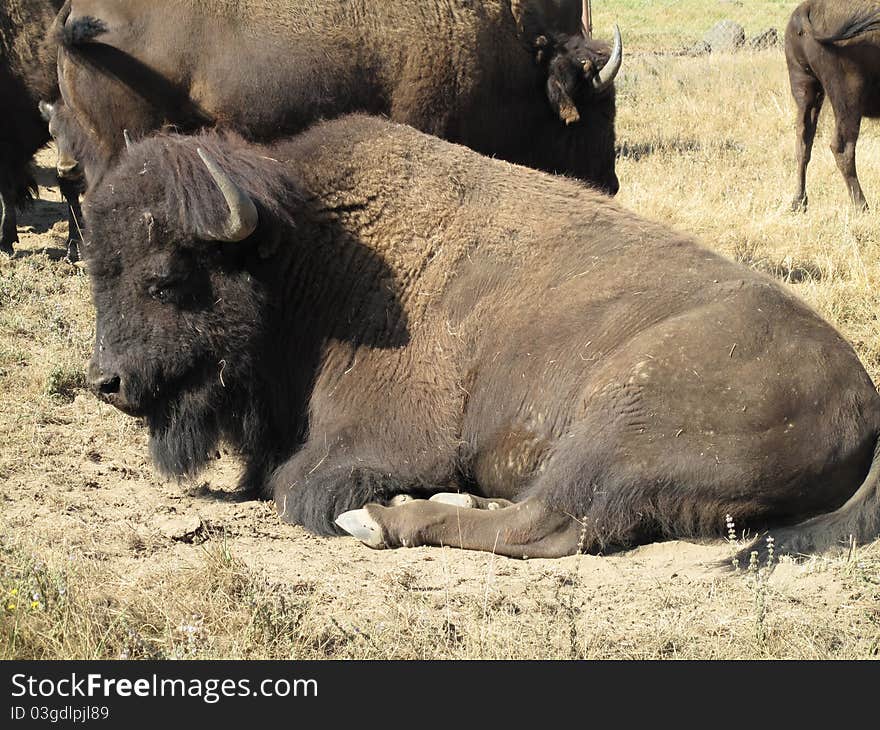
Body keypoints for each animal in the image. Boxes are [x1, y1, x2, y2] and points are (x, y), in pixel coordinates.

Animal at [82, 114, 880, 560]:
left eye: (165, 278)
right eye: (97, 268)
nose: (105, 382)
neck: (307, 252)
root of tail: (865, 401)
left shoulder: (383, 442)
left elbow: (296, 486)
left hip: (619, 422)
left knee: (550, 523)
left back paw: (381, 521)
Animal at [788, 0, 880, 210]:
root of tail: (808, 7)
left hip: (805, 88)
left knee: (803, 142)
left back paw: (799, 202)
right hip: (847, 98)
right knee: (842, 147)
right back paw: (862, 206)